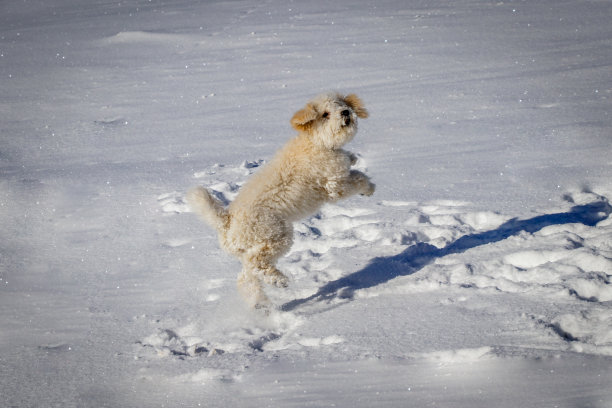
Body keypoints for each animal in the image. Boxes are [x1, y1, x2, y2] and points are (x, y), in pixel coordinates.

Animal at [186, 91, 376, 306]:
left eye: (342, 104)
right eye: (325, 114)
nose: (345, 112)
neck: (318, 144)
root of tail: (227, 224)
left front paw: (353, 160)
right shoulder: (335, 185)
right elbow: (358, 178)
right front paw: (369, 188)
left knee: (246, 277)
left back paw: (260, 304)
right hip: (276, 236)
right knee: (256, 264)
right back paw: (278, 280)